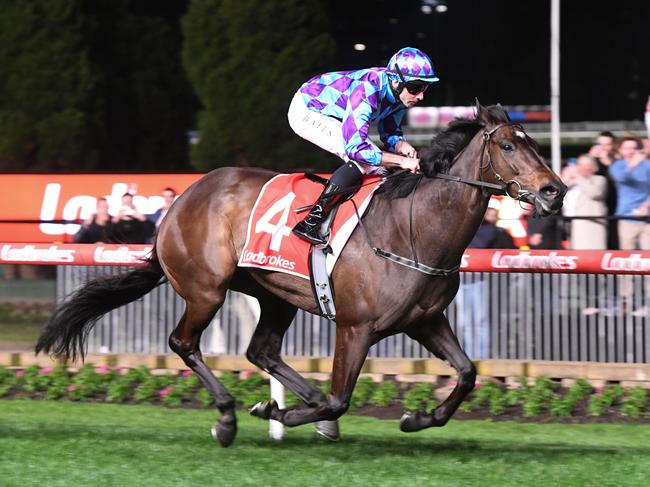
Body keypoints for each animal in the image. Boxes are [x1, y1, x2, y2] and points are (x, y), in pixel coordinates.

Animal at [35, 102, 560, 446]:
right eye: (509, 144)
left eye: (536, 143)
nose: (554, 191)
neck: (414, 228)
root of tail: (181, 201)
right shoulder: (355, 327)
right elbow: (340, 397)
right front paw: (283, 414)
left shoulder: (426, 321)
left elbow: (468, 372)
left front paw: (416, 418)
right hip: (207, 290)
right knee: (184, 343)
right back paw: (228, 417)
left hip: (275, 294)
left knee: (262, 350)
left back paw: (290, 405)